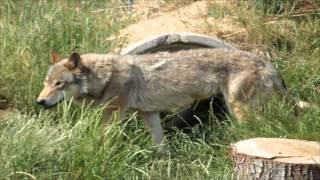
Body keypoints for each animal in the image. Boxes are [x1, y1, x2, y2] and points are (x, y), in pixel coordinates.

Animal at [36, 48, 308, 146]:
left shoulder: (112, 116)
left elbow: (97, 139)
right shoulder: (150, 114)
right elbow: (160, 146)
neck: (105, 77)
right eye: (46, 84)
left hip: (239, 109)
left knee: (263, 129)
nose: (39, 101)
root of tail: (266, 61)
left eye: (59, 84)